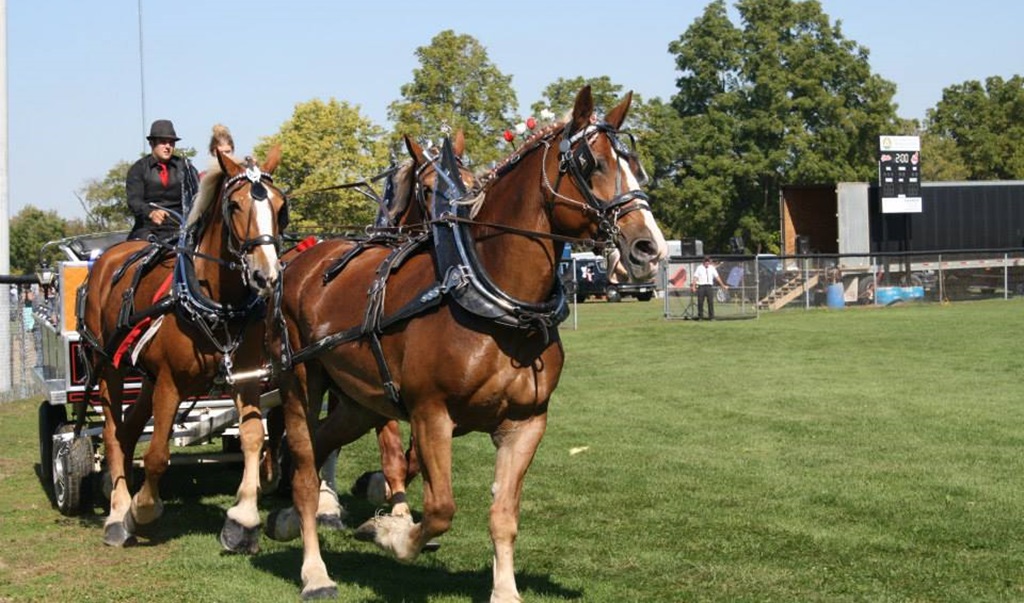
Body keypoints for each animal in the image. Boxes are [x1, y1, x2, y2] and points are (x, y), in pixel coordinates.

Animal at [77, 147, 287, 551]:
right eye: (235, 205)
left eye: (281, 205)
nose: (266, 276)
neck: (216, 301)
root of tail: (108, 257)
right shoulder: (171, 383)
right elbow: (158, 454)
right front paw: (142, 510)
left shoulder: (245, 377)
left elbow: (253, 437)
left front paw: (242, 519)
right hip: (109, 366)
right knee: (112, 433)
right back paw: (117, 513)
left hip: (146, 378)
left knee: (128, 431)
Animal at [266, 85, 668, 601]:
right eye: (590, 162)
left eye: (634, 163)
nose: (649, 247)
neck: (492, 298)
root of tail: (302, 259)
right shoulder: (430, 415)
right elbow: (439, 509)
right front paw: (391, 532)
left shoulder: (525, 424)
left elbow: (503, 516)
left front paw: (505, 590)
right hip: (300, 381)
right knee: (301, 465)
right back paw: (314, 570)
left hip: (359, 402)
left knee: (316, 449)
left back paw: (289, 519)